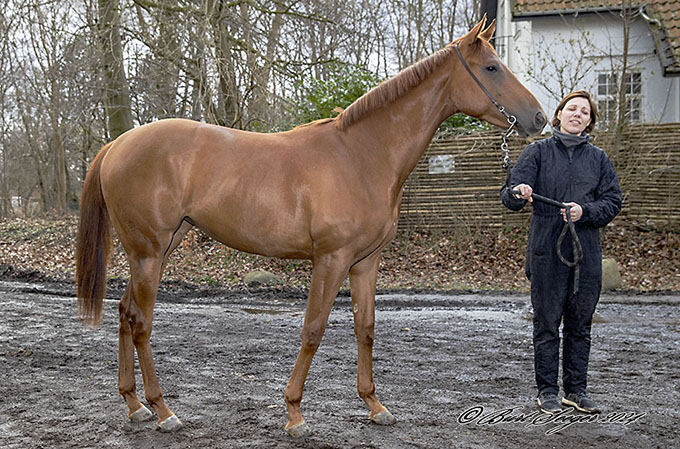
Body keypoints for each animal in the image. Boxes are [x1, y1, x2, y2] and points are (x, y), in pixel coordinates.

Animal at [75, 16, 548, 434]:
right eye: (492, 67)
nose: (540, 119)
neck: (361, 155)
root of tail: (117, 144)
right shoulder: (331, 259)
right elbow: (313, 330)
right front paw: (294, 414)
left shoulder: (365, 262)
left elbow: (365, 328)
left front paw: (374, 405)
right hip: (150, 252)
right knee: (140, 321)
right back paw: (163, 411)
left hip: (159, 248)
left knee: (124, 311)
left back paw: (134, 405)